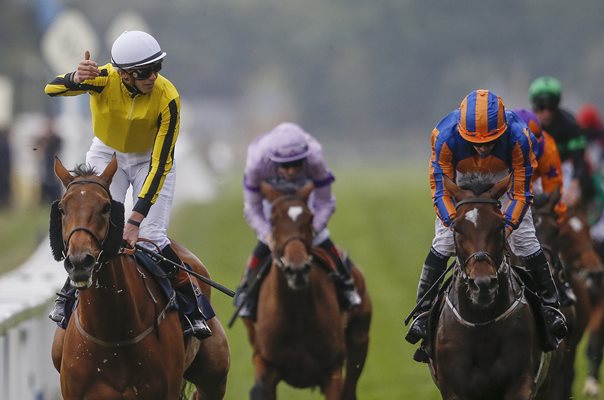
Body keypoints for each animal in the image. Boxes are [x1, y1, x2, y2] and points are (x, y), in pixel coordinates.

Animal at [243, 181, 370, 400]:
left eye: (310, 218)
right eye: (273, 221)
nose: (297, 269)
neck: (296, 316)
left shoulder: (332, 371)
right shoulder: (264, 361)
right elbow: (260, 389)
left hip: (360, 339)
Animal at [432, 175, 544, 400]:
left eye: (499, 226)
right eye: (457, 228)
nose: (482, 284)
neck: (481, 323)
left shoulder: (521, 382)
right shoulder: (453, 388)